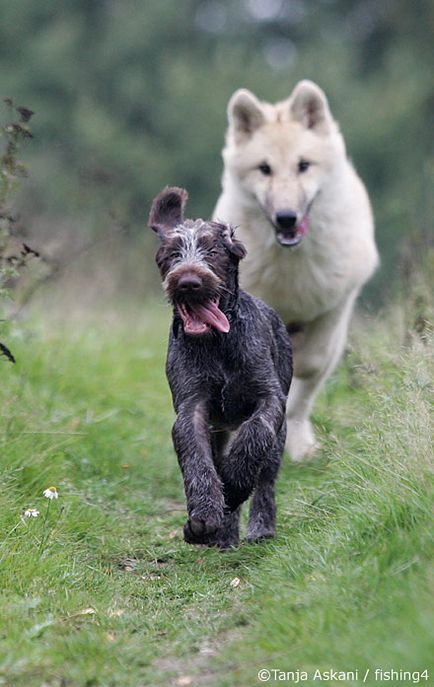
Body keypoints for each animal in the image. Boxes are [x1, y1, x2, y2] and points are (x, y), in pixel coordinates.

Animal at [147, 187, 294, 548]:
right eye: (172, 254)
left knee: (266, 478)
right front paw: (204, 519)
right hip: (220, 429)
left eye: (212, 251)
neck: (216, 343)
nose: (188, 282)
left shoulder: (270, 400)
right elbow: (198, 462)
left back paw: (261, 526)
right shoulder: (192, 408)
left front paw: (235, 482)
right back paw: (224, 535)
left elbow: (255, 436)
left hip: (280, 434)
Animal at [214, 80, 376, 462]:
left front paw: (297, 443)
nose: (286, 218)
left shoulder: (334, 308)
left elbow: (308, 368)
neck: (291, 261)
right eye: (264, 169)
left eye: (304, 165)